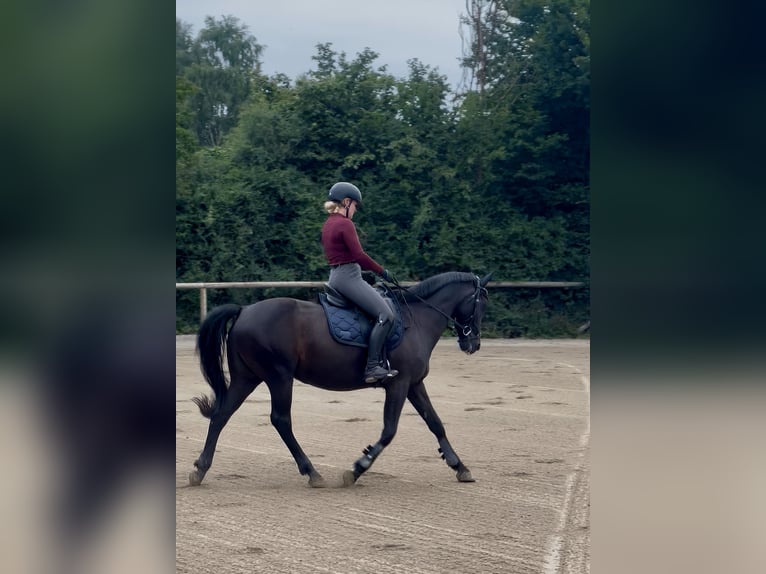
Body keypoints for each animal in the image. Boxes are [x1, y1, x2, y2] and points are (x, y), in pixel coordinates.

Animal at [188, 271, 492, 488]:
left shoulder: (414, 384)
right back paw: (311, 472)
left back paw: (201, 469)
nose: (473, 344)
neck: (416, 320)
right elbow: (389, 430)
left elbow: (435, 422)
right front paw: (358, 468)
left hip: (247, 377)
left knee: (222, 414)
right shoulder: (399, 384)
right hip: (279, 376)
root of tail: (244, 311)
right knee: (280, 420)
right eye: (481, 304)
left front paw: (459, 466)